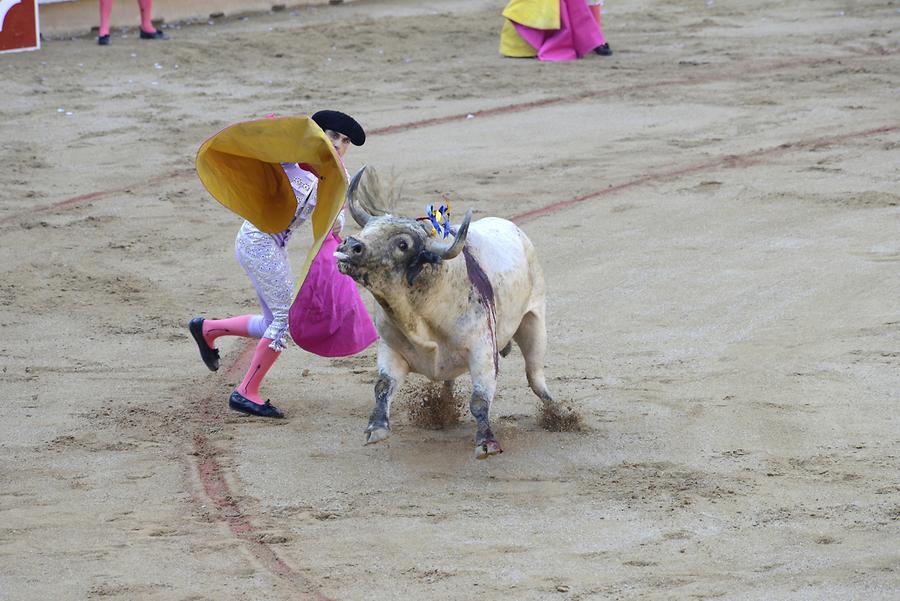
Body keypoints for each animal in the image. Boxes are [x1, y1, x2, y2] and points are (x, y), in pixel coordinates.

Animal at [334, 166, 580, 458]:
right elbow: (383, 385)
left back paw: (560, 414)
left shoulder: (483, 352)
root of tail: (512, 227)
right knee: (450, 379)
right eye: (367, 228)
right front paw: (377, 428)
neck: (420, 312)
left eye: (403, 244)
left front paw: (486, 442)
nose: (350, 245)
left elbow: (479, 400)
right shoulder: (391, 347)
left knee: (535, 376)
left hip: (535, 321)